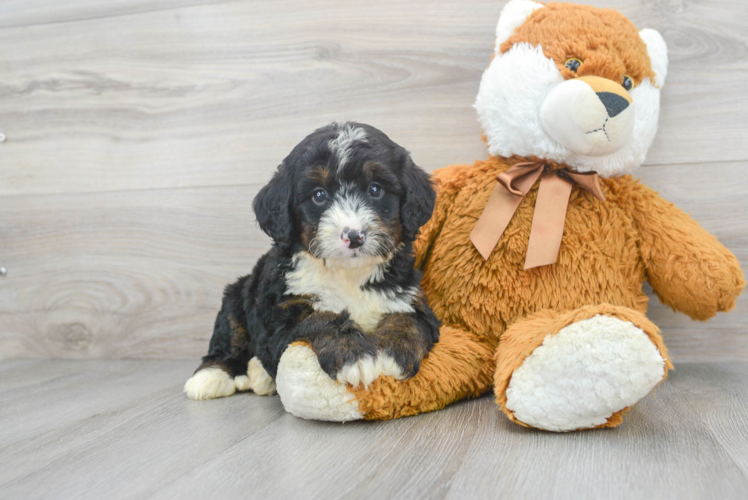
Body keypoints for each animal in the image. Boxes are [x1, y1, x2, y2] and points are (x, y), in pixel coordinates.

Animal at [184, 123, 438, 400]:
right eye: (319, 195)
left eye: (375, 189)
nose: (354, 236)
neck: (348, 274)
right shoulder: (280, 316)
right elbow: (320, 318)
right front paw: (353, 355)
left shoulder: (409, 296)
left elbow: (408, 320)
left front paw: (393, 354)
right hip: (235, 297)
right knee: (229, 339)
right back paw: (211, 376)